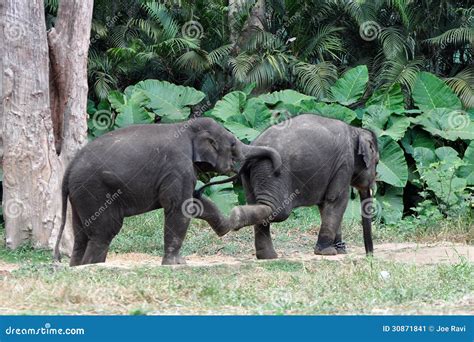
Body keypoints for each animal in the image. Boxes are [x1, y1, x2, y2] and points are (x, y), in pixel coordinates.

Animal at [53, 117, 282, 264]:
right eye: (233, 144)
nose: (278, 169)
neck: (186, 127)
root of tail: (68, 170)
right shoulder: (178, 167)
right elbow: (179, 208)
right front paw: (176, 264)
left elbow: (194, 204)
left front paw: (225, 225)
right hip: (95, 192)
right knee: (104, 232)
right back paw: (93, 266)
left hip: (80, 196)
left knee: (81, 235)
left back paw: (77, 267)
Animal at [194, 113, 380, 258]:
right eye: (377, 162)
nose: (369, 256)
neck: (355, 130)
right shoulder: (344, 164)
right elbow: (337, 200)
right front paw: (327, 252)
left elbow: (325, 205)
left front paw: (338, 251)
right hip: (273, 173)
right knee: (276, 210)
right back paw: (234, 218)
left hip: (251, 176)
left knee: (259, 204)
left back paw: (267, 256)